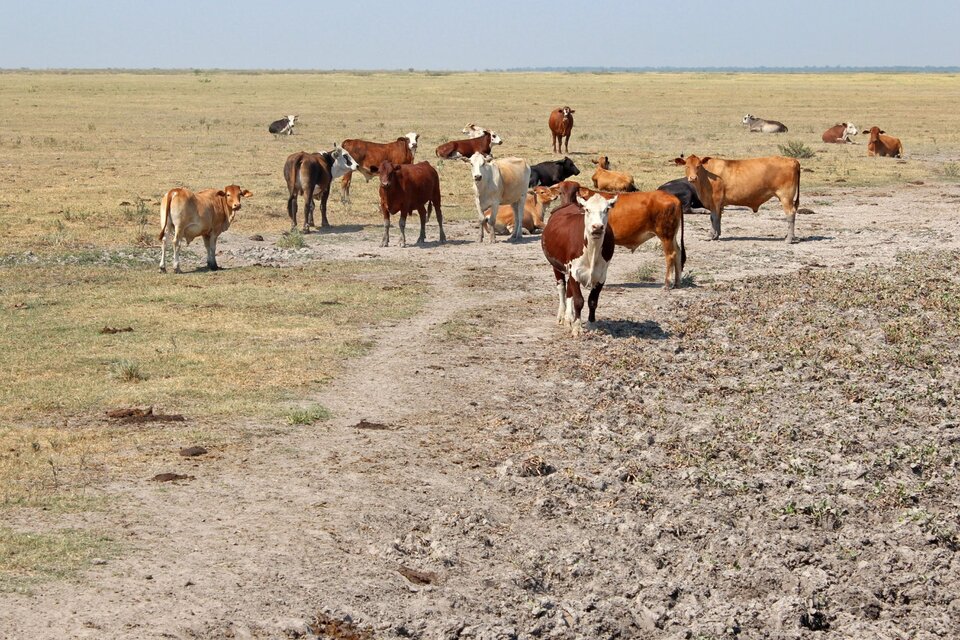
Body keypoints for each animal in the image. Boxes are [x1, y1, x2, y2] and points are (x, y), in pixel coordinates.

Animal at [540, 194, 616, 336]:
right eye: (587, 210)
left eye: (606, 209)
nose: (597, 227)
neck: (592, 249)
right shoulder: (574, 272)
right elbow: (579, 301)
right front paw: (577, 327)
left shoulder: (602, 275)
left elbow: (593, 301)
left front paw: (591, 324)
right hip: (557, 266)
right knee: (562, 288)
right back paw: (562, 316)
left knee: (569, 292)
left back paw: (569, 318)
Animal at [552, 181, 688, 288]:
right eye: (561, 192)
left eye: (575, 193)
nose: (567, 204)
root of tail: (674, 198)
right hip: (672, 236)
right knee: (678, 252)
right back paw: (677, 283)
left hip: (665, 235)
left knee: (671, 255)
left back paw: (667, 283)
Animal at [676, 154, 804, 244]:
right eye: (687, 166)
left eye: (698, 166)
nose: (692, 178)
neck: (707, 175)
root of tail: (792, 160)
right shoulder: (718, 204)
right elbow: (718, 217)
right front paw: (717, 235)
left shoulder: (715, 200)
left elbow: (713, 217)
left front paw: (711, 236)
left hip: (785, 197)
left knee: (790, 214)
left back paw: (789, 239)